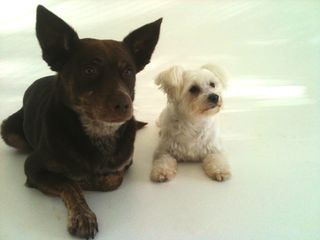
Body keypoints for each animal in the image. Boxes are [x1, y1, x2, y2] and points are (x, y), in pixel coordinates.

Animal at [0, 5, 162, 238]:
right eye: (89, 70)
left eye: (128, 71)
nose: (124, 104)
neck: (98, 133)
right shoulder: (33, 167)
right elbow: (69, 184)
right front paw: (83, 213)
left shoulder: (125, 164)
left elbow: (111, 179)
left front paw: (91, 179)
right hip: (9, 131)